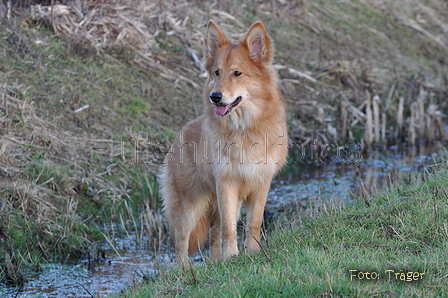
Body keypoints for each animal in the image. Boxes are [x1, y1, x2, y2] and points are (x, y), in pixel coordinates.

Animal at [161, 20, 288, 266]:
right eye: (216, 72)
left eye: (237, 73)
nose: (215, 96)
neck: (244, 129)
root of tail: (181, 132)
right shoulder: (227, 184)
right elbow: (230, 228)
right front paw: (232, 255)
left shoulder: (260, 183)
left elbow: (253, 223)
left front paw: (252, 252)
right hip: (189, 207)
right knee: (181, 243)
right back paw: (185, 271)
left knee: (214, 235)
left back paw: (216, 262)